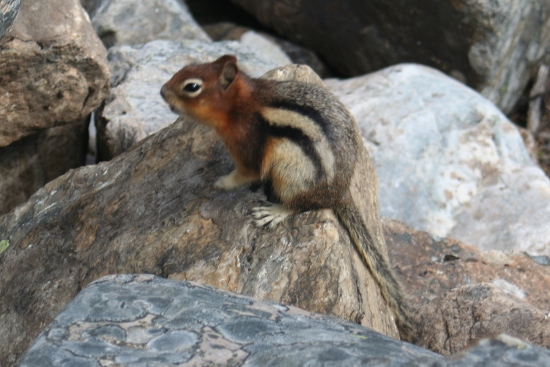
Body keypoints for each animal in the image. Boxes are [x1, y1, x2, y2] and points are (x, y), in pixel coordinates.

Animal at [160, 54, 414, 342]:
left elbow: (246, 173)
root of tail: (340, 190)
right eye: (184, 69)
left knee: (301, 205)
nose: (162, 91)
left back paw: (273, 212)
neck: (239, 105)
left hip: (290, 174)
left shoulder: (248, 146)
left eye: (192, 86)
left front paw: (220, 182)